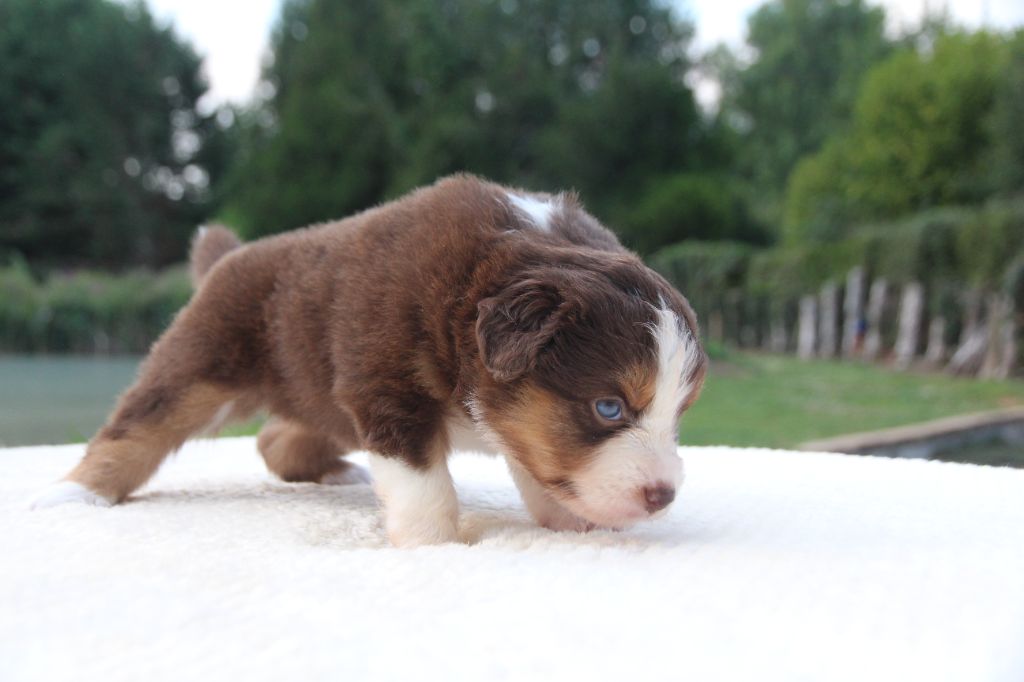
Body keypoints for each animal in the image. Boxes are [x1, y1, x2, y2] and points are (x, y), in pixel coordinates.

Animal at [31, 175, 708, 546]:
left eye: (679, 415)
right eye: (609, 407)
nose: (662, 496)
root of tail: (229, 255)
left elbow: (537, 463)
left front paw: (575, 525)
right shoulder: (386, 389)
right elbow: (425, 488)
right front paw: (437, 546)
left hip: (315, 388)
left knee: (276, 436)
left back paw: (333, 473)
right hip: (202, 358)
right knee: (137, 425)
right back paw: (70, 495)